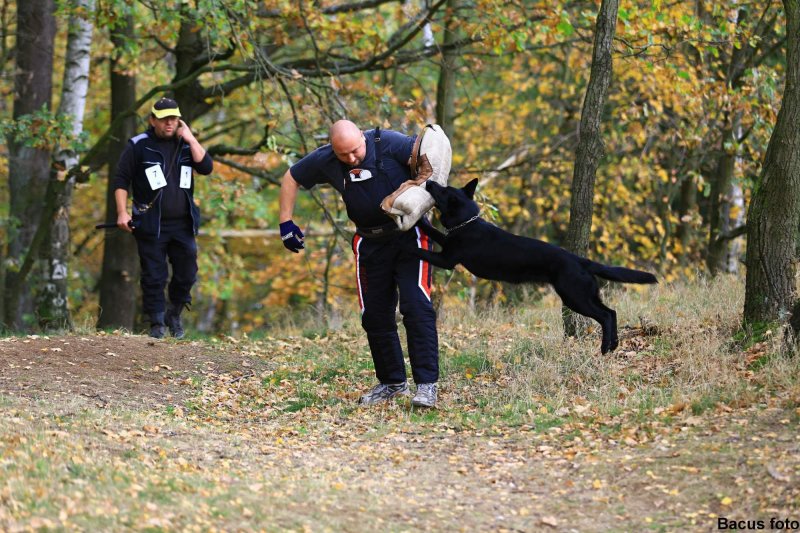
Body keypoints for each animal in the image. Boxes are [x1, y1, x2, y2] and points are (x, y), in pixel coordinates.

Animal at [412, 179, 656, 354]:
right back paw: (613, 345)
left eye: (443, 190)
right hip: (585, 295)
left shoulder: (447, 259)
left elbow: (421, 250)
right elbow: (433, 231)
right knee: (611, 312)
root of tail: (581, 260)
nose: (429, 182)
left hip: (575, 297)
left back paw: (605, 348)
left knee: (605, 315)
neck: (466, 223)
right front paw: (419, 221)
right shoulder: (446, 244)